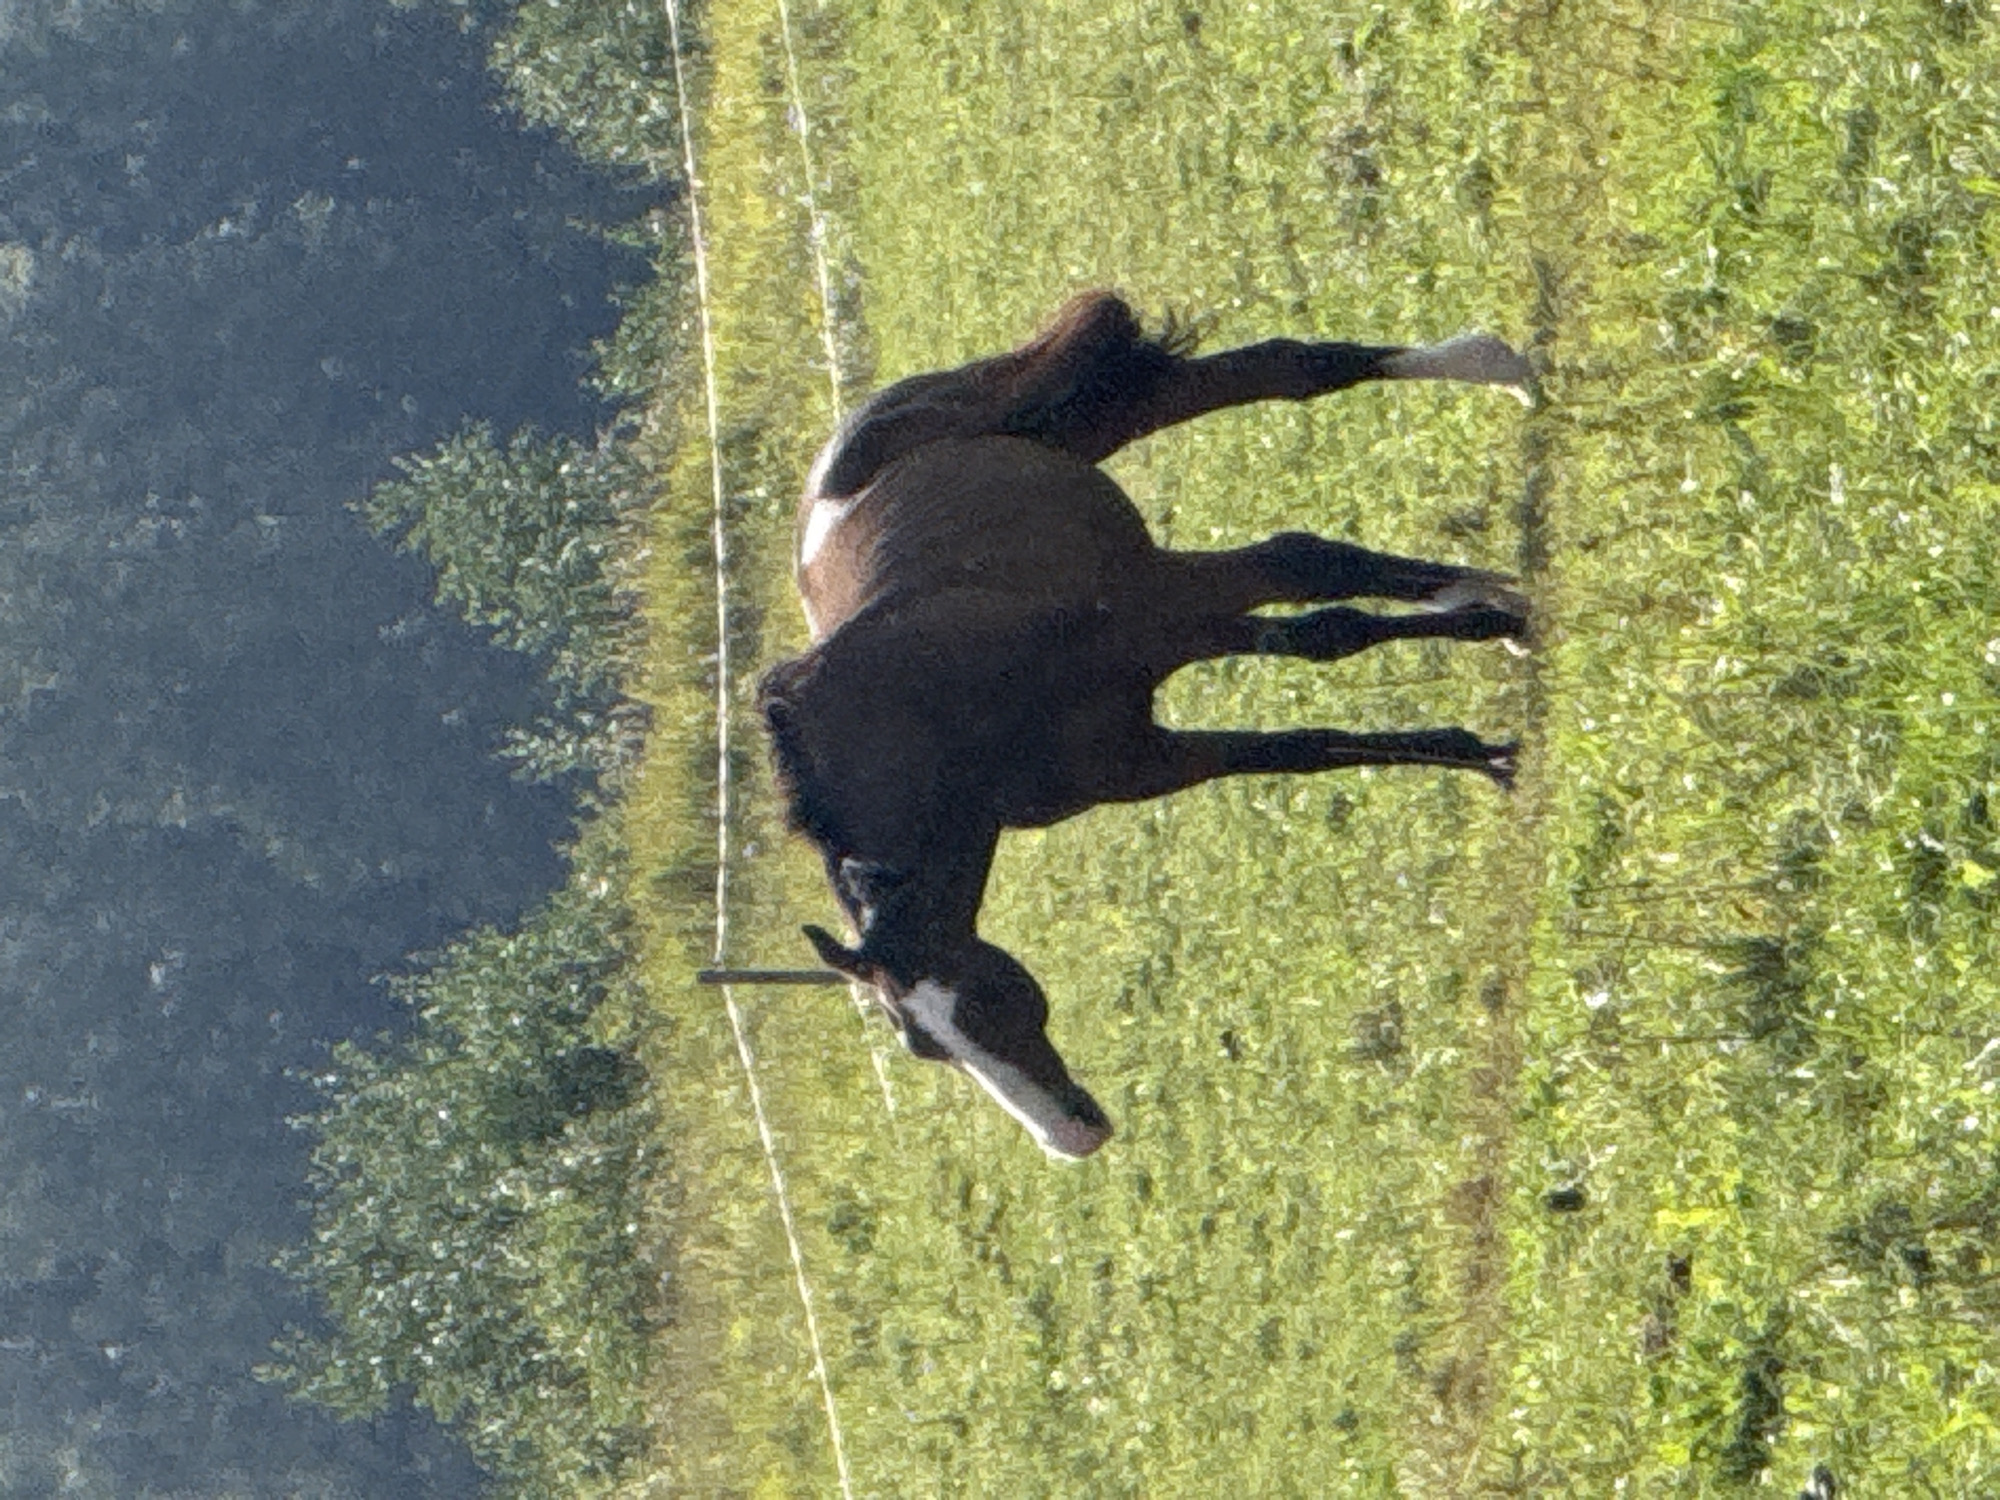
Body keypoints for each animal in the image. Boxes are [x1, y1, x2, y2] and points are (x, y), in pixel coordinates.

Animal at [757, 292, 1532, 1158]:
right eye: (925, 1048)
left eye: (979, 1003)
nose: (1070, 1140)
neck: (941, 710)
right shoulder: (1145, 755)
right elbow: (1301, 738)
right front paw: (1484, 746)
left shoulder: (1161, 610)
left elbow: (1319, 595)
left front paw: (1509, 618)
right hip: (1100, 429)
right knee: (1265, 383)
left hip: (1107, 435)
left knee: (1293, 375)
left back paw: (1500, 371)